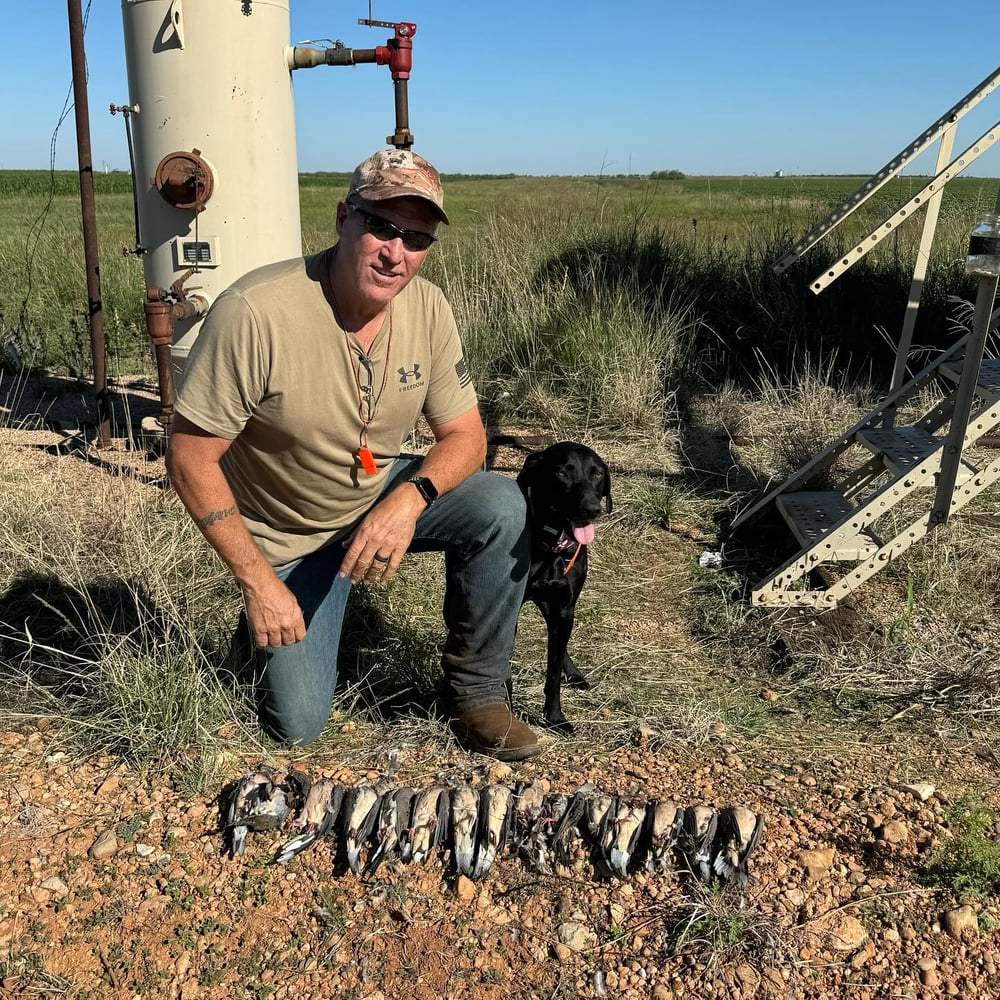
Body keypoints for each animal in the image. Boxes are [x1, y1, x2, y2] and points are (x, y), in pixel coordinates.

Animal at [520, 442, 612, 732]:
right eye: (562, 473)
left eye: (597, 474)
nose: (592, 509)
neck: (552, 547)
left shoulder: (563, 607)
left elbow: (553, 671)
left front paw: (554, 717)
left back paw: (572, 672)